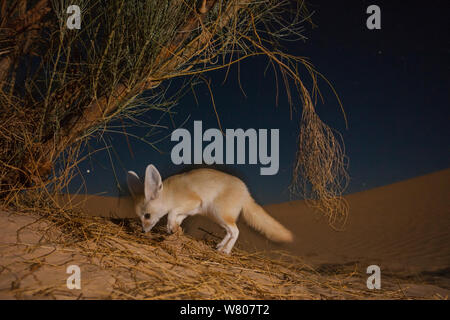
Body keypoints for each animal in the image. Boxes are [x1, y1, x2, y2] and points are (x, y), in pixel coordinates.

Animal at [128, 165, 294, 252]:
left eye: (147, 216)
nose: (143, 231)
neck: (169, 193)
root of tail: (246, 191)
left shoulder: (194, 201)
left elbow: (171, 212)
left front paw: (171, 226)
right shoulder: (190, 210)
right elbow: (177, 217)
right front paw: (173, 229)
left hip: (220, 213)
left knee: (236, 231)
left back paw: (226, 251)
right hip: (216, 216)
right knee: (230, 231)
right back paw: (220, 246)